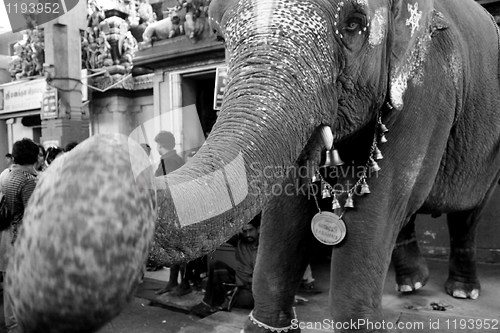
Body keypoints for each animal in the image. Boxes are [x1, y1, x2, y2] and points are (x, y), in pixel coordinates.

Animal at [5, 0, 500, 330]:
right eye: (224, 33)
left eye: (354, 24)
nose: (65, 158)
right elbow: (284, 212)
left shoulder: (429, 87)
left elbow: (373, 214)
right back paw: (412, 285)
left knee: (467, 212)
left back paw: (460, 290)